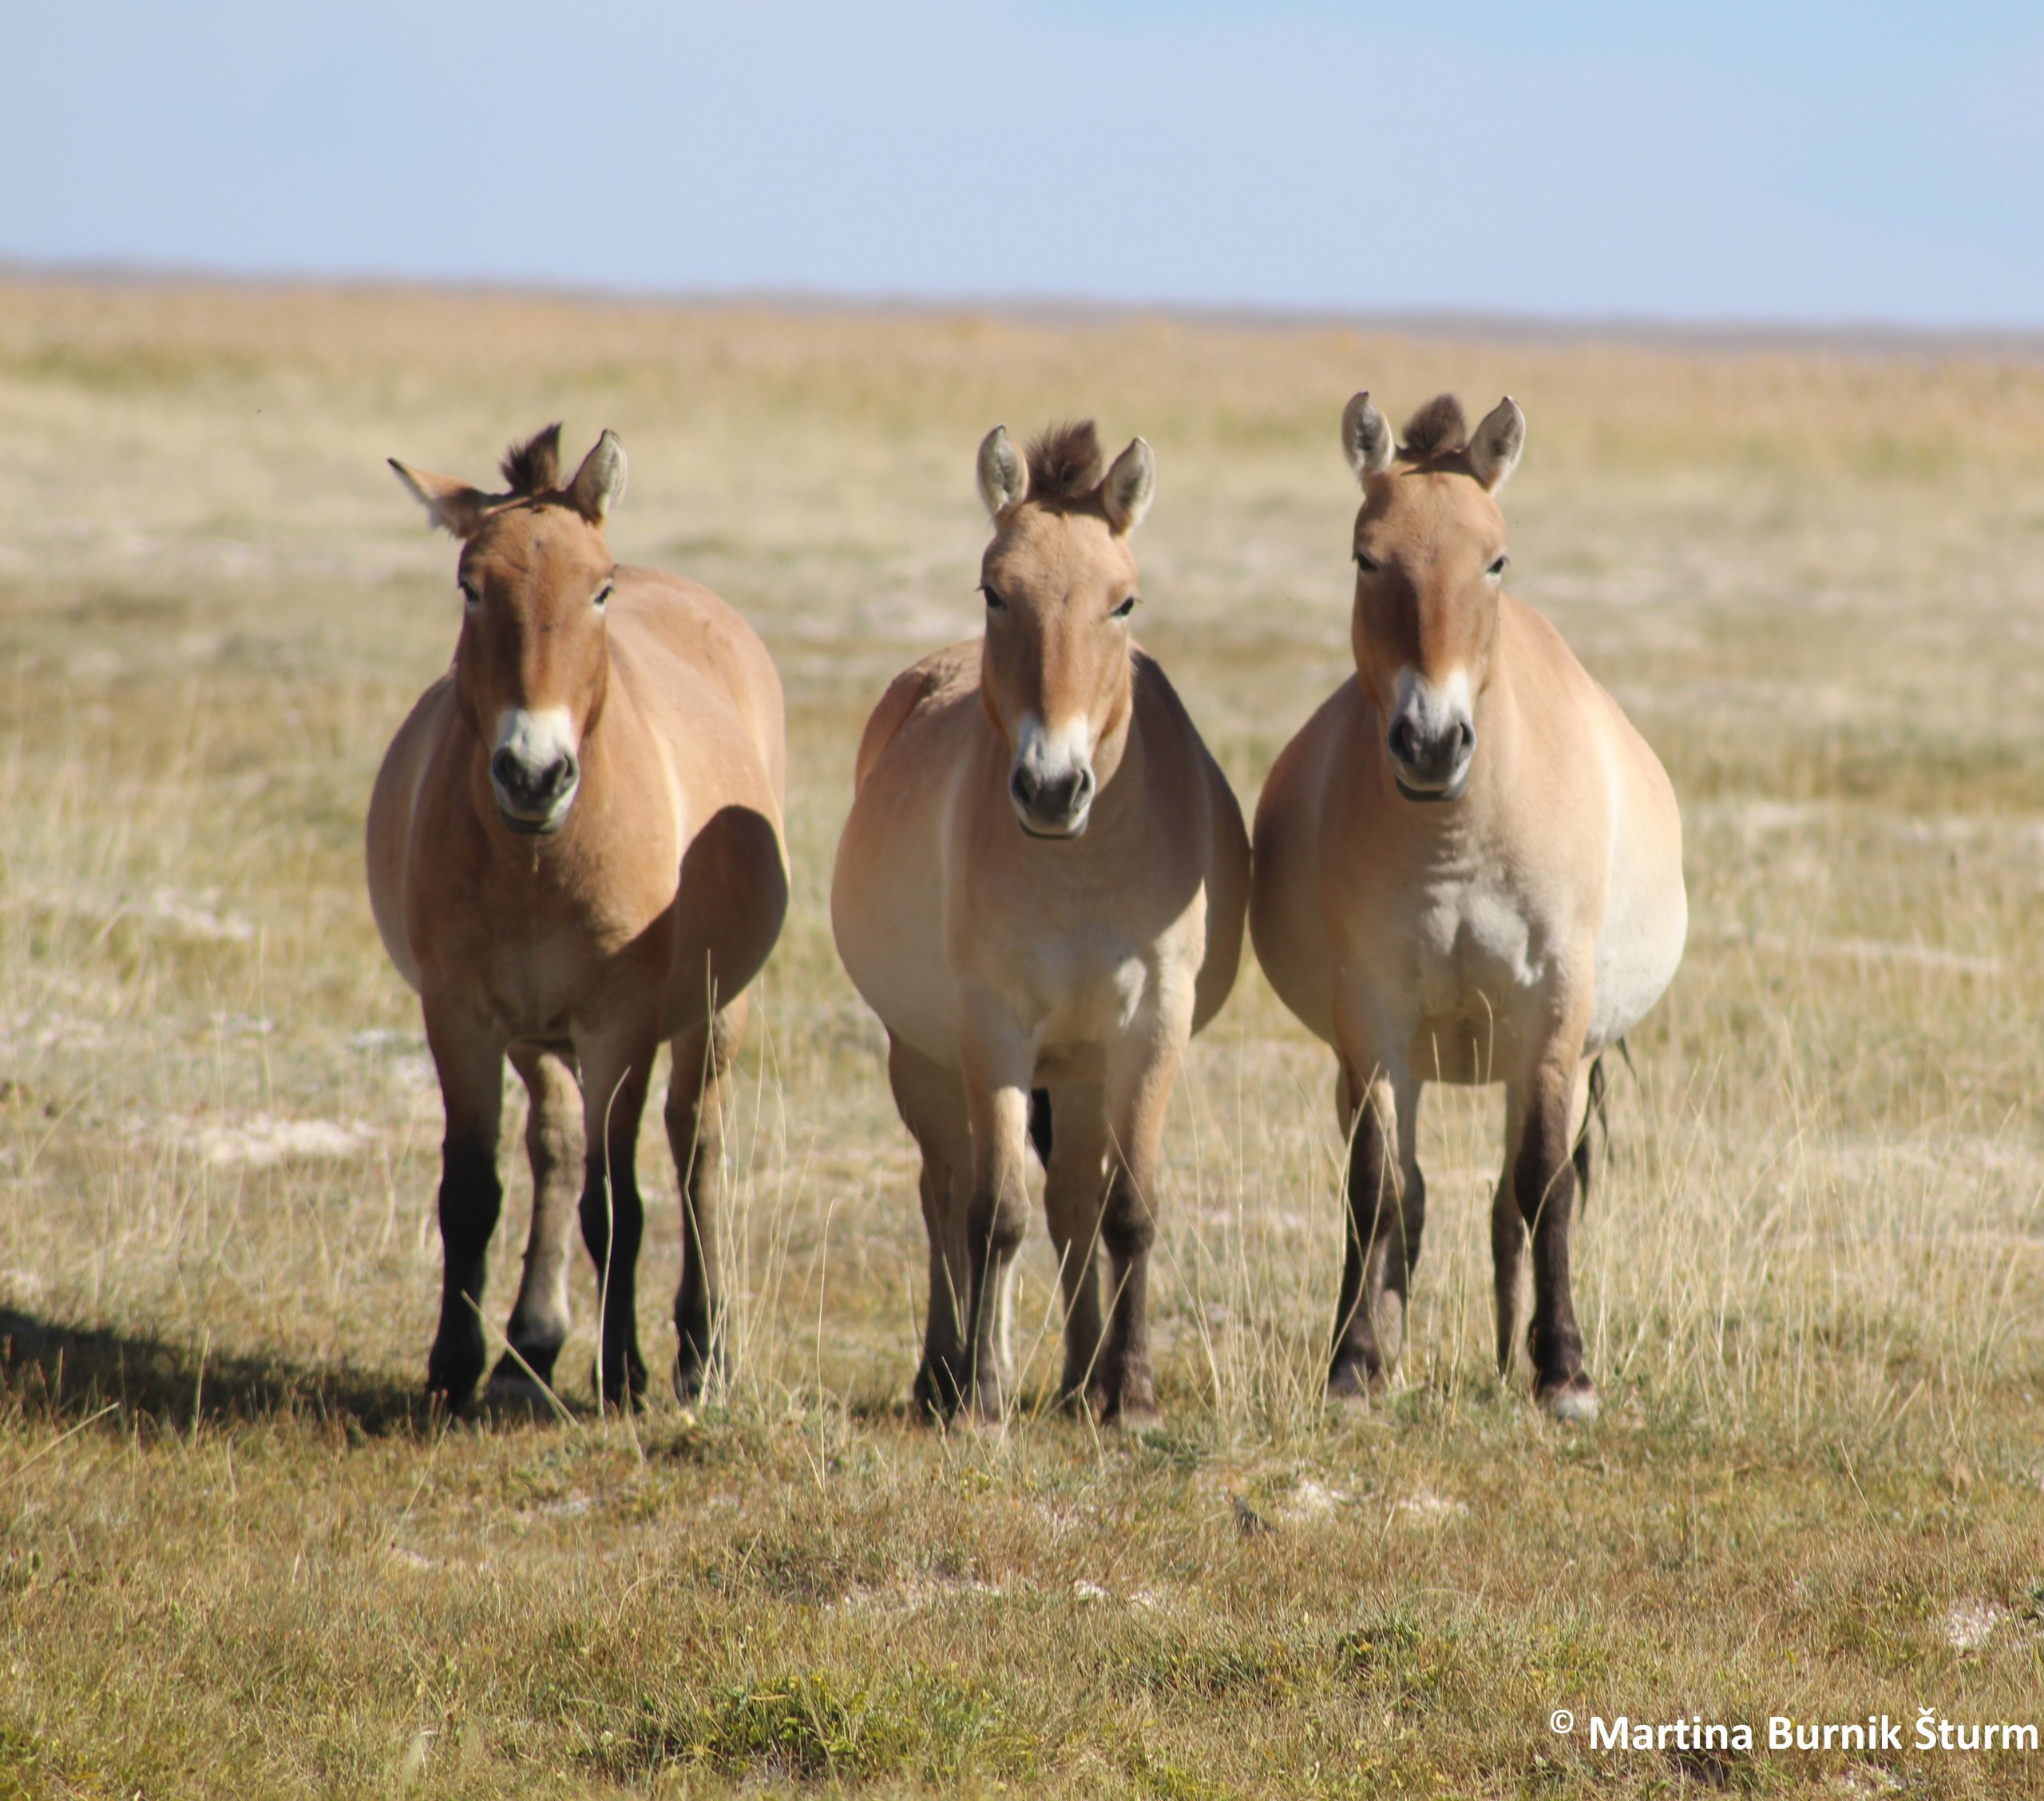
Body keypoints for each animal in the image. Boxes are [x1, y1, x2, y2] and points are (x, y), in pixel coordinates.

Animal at [363, 429, 785, 1415]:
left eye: (599, 589)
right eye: (471, 585)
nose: (534, 773)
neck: (535, 862)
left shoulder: (619, 1026)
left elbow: (616, 1202)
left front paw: (624, 1371)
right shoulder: (462, 1018)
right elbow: (473, 1192)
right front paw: (454, 1367)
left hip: (716, 1013)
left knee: (695, 1147)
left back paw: (700, 1350)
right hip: (535, 1035)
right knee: (554, 1146)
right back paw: (531, 1344)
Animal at [826, 418, 1242, 1423]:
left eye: (1123, 602)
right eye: (995, 592)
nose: (1052, 788)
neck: (1080, 867)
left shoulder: (1150, 1031)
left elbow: (1127, 1211)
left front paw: (1130, 1393)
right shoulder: (993, 1032)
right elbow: (994, 1215)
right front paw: (982, 1390)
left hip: (1084, 1071)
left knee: (1075, 1205)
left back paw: (1082, 1378)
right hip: (924, 1058)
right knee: (945, 1195)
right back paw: (944, 1374)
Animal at [1250, 390, 1684, 1423]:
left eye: (1495, 559)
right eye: (1366, 558)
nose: (1431, 742)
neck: (1456, 838)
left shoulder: (1552, 1017)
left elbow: (1542, 1185)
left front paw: (1563, 1371)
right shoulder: (1371, 1021)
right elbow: (1377, 1189)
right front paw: (1354, 1366)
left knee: (1510, 1200)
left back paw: (1505, 1353)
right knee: (1402, 1194)